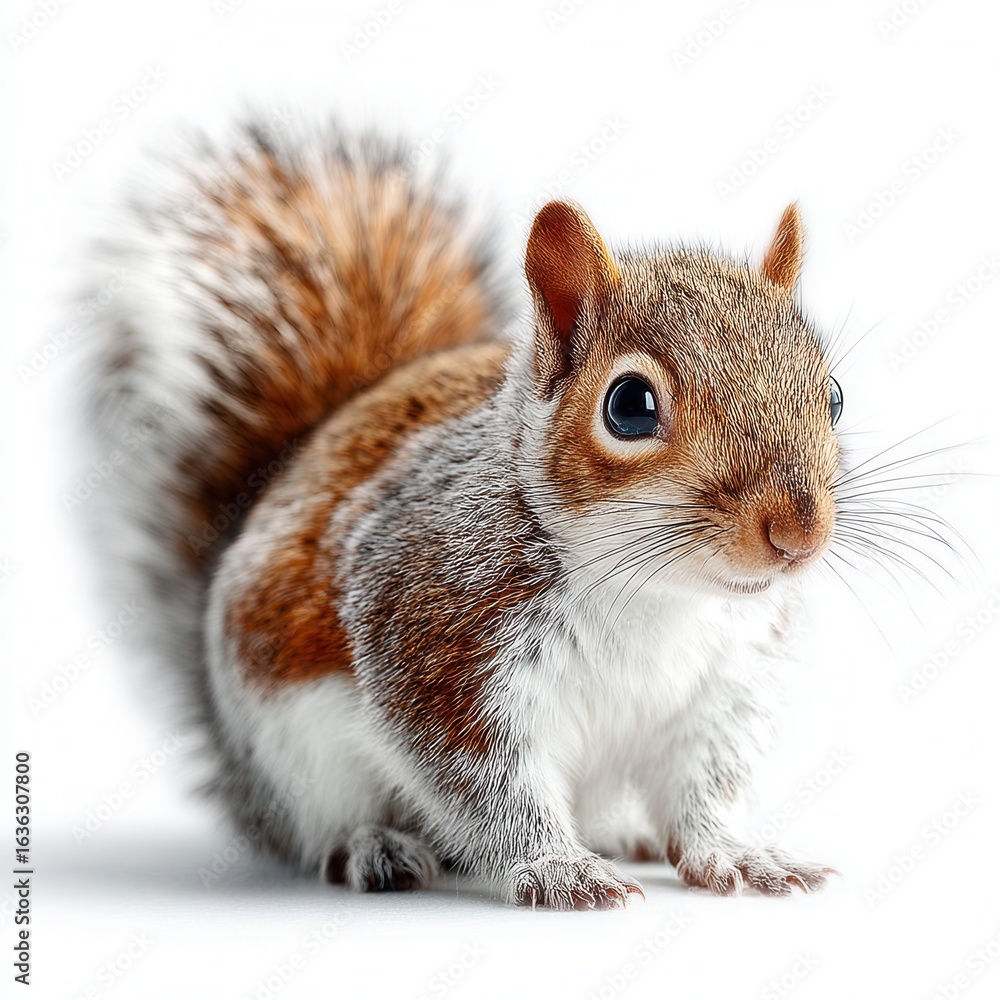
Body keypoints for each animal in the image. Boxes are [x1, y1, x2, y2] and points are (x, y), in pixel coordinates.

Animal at [86, 120, 844, 909]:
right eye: (630, 407)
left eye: (833, 396)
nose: (798, 533)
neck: (657, 592)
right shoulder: (438, 639)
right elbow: (486, 785)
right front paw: (558, 869)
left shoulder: (722, 689)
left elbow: (704, 789)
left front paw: (736, 855)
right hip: (296, 754)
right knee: (315, 827)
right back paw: (373, 847)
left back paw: (621, 832)